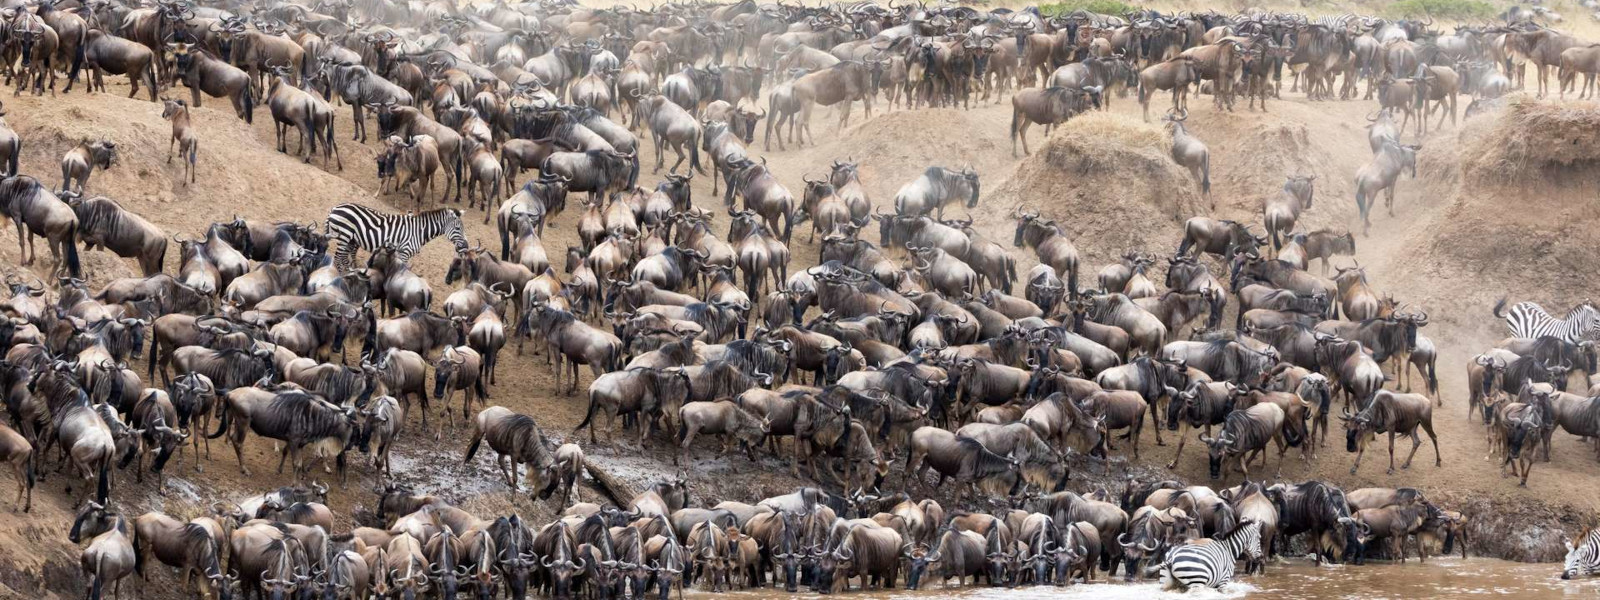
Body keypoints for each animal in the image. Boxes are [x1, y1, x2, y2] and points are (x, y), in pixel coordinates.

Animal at [324, 206, 467, 273]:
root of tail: (334, 208)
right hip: (344, 235)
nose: (466, 247)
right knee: (338, 258)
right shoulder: (405, 252)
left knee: (343, 257)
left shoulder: (398, 252)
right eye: (458, 228)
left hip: (350, 238)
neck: (419, 231)